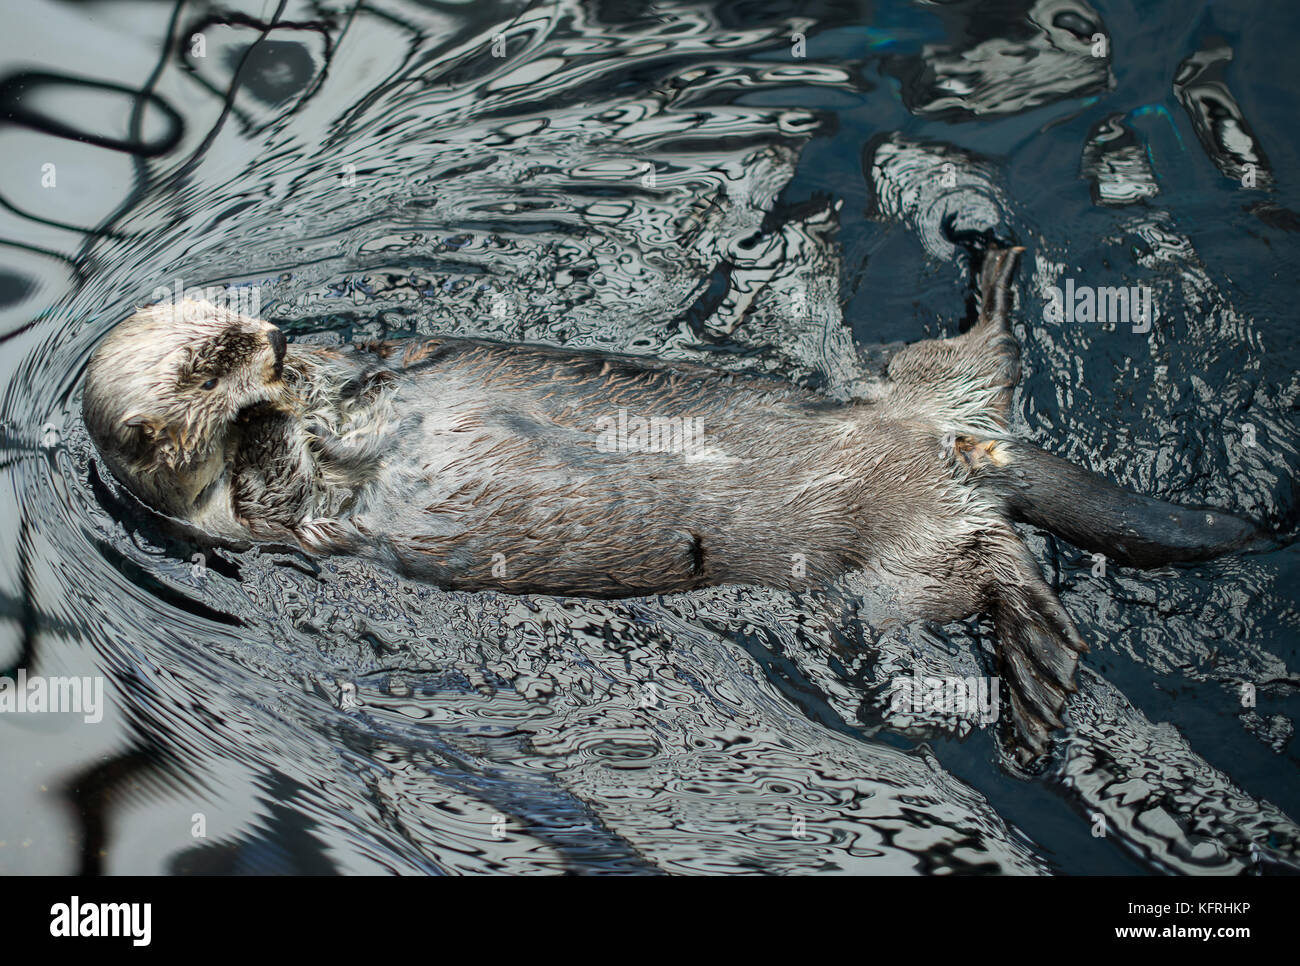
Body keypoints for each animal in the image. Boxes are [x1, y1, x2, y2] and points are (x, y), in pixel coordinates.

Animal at [82, 248, 1270, 762]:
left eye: (252, 328)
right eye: (214, 360)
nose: (277, 350)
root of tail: (959, 450)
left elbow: (374, 370)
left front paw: (348, 379)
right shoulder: (259, 521)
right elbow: (282, 486)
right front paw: (277, 424)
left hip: (924, 399)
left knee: (979, 363)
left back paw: (995, 268)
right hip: (906, 566)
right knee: (996, 570)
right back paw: (1036, 678)